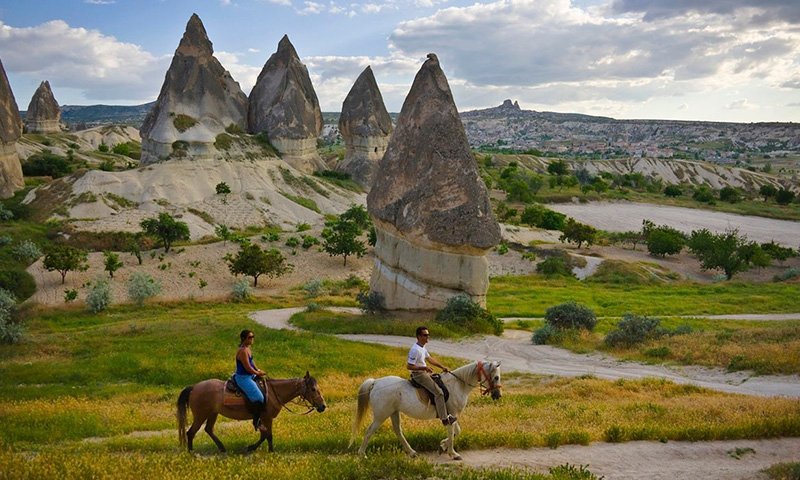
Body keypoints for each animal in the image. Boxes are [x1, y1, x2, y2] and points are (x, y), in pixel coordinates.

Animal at [176, 372, 324, 454]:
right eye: (313, 389)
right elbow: (268, 435)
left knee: (208, 429)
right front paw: (268, 451)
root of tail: (194, 387)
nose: (323, 406)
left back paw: (222, 448)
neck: (273, 393)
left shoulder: (263, 419)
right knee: (191, 432)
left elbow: (265, 435)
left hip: (212, 413)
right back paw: (191, 452)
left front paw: (254, 448)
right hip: (201, 415)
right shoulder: (266, 418)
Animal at [350, 362, 500, 460]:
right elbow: (452, 433)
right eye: (496, 377)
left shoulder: (452, 415)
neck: (458, 384)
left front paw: (442, 447)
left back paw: (412, 452)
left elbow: (456, 431)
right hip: (381, 415)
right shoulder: (452, 414)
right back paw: (362, 454)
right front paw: (453, 453)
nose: (498, 395)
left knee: (398, 431)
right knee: (369, 431)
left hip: (393, 412)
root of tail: (375, 382)